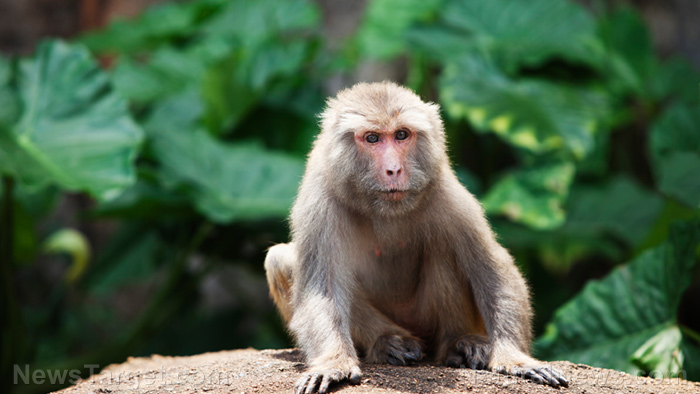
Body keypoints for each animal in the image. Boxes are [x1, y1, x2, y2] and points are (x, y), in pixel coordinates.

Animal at [264, 81, 568, 392]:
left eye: (401, 135)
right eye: (372, 138)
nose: (394, 169)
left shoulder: (446, 194)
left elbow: (492, 271)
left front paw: (516, 359)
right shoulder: (319, 201)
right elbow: (320, 289)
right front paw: (333, 363)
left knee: (444, 250)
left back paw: (457, 343)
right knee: (280, 259)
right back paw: (389, 343)